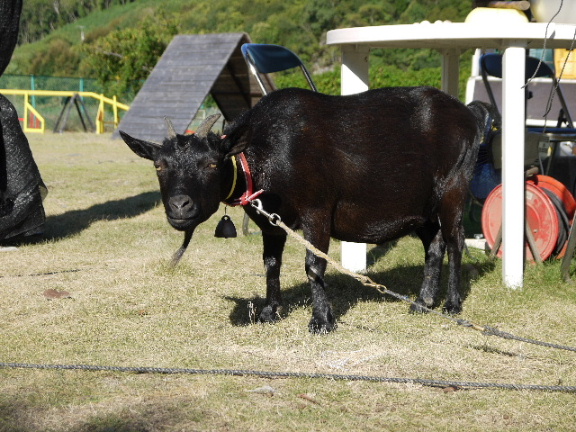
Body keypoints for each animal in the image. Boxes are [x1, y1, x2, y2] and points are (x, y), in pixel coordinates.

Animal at [121, 86, 490, 332]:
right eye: (158, 166)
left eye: (212, 163)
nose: (179, 206)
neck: (265, 153)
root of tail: (470, 116)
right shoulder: (271, 221)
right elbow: (271, 264)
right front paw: (270, 312)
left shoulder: (317, 210)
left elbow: (314, 265)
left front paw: (322, 321)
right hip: (420, 205)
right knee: (434, 244)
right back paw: (423, 303)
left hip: (453, 187)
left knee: (455, 241)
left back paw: (452, 304)